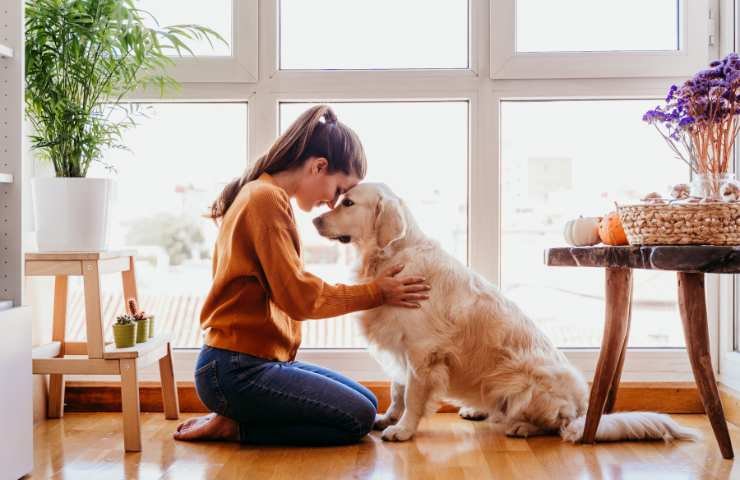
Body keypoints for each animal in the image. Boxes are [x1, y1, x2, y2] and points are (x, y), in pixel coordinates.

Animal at [312, 183, 700, 442]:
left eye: (347, 202)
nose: (314, 221)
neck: (391, 255)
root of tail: (581, 410)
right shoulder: (400, 345)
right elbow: (397, 389)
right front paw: (386, 418)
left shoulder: (422, 352)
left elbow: (413, 396)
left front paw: (403, 429)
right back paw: (478, 409)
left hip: (528, 382)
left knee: (555, 426)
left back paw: (521, 426)